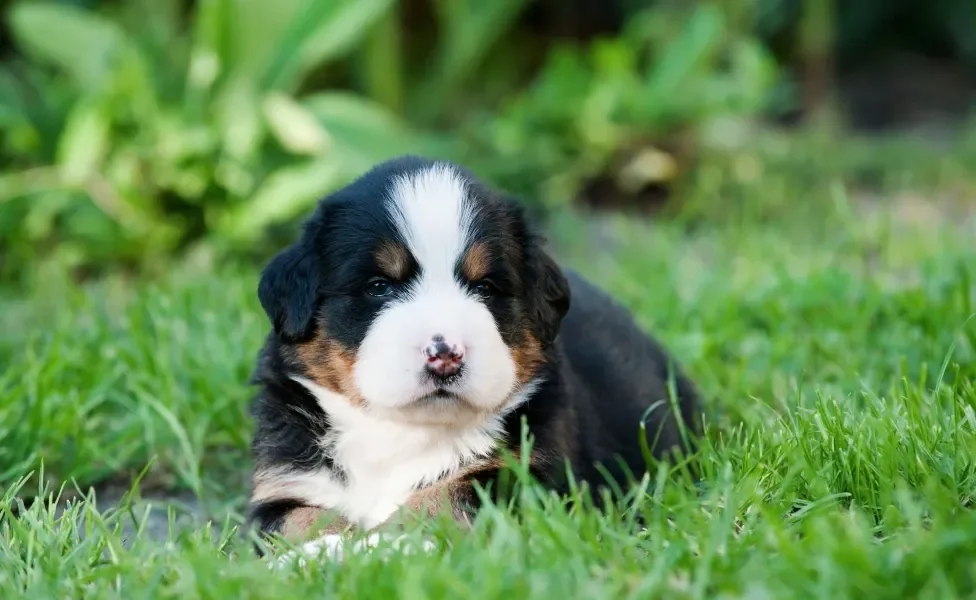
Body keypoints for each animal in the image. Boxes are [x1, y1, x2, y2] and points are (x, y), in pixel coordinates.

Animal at [244, 157, 700, 560]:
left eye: (485, 287)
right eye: (378, 286)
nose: (445, 353)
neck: (400, 434)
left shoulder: (526, 472)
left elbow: (446, 496)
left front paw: (387, 545)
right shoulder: (283, 483)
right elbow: (300, 519)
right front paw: (324, 549)